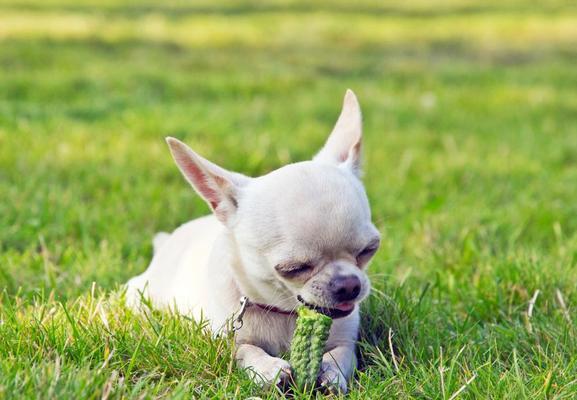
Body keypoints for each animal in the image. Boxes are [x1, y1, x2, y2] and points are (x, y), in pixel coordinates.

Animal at [125, 89, 378, 392]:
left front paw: (331, 371)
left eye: (368, 250)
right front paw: (268, 368)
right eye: (294, 268)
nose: (348, 284)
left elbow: (342, 353)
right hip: (139, 293)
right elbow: (246, 350)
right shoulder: (229, 340)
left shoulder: (346, 338)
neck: (286, 314)